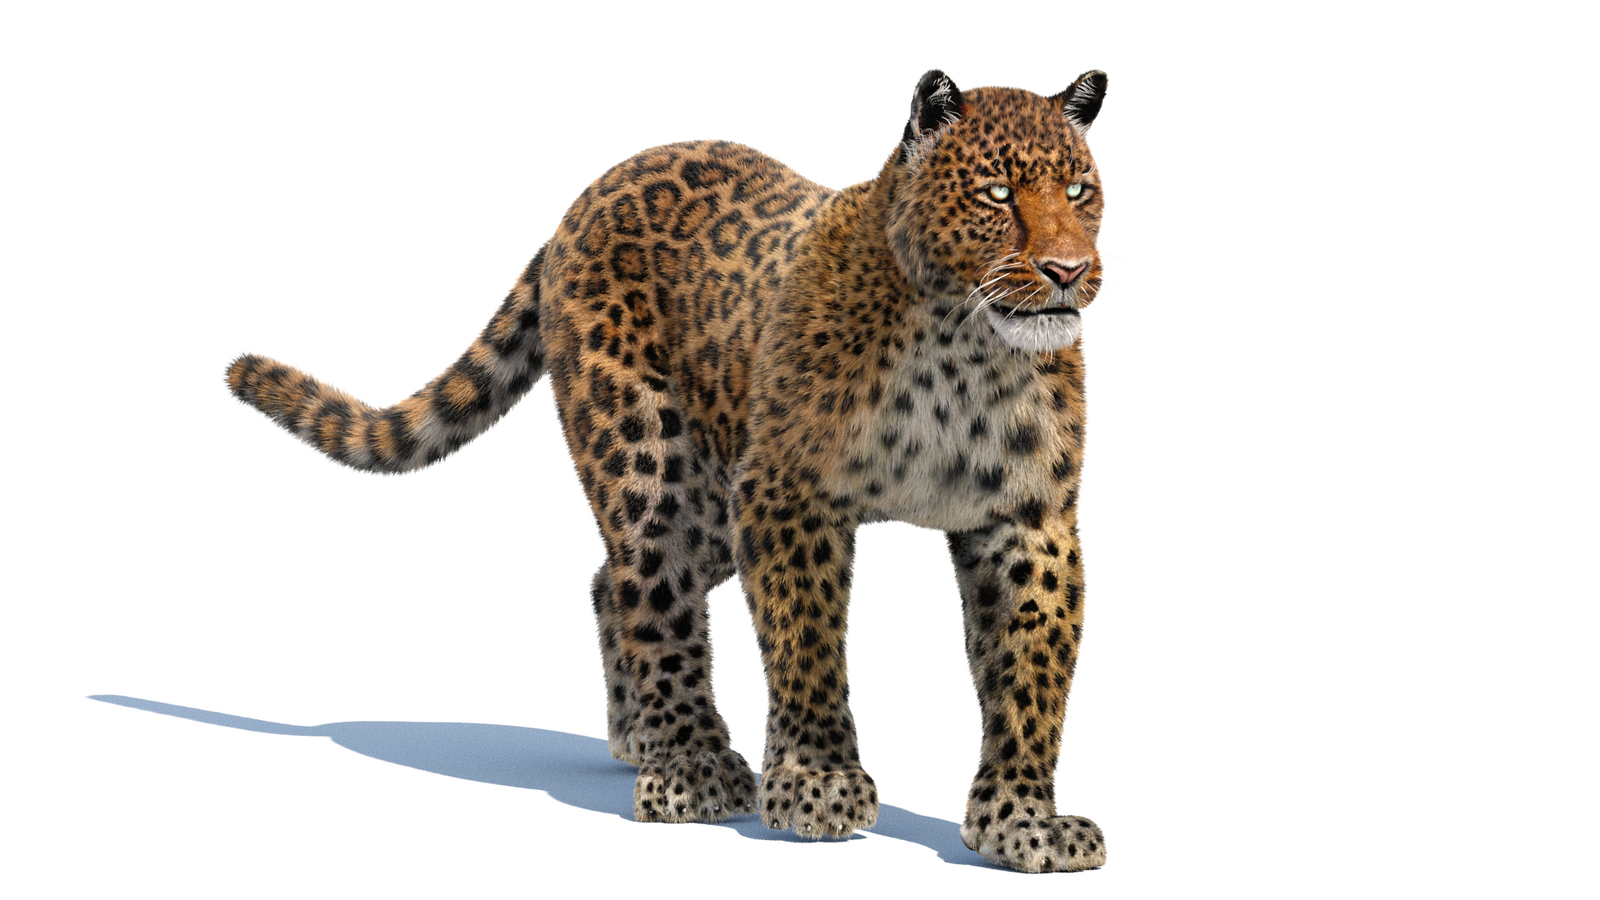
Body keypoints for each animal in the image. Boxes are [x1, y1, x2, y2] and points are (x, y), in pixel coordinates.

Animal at [217, 63, 1114, 874]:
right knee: (653, 592)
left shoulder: (1026, 520)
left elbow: (1030, 670)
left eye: (1078, 189)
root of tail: (583, 200)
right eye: (996, 193)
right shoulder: (789, 496)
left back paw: (637, 736)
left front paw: (1022, 824)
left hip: (716, 506)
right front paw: (818, 782)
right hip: (656, 467)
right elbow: (805, 642)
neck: (967, 347)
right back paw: (689, 764)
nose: (1069, 271)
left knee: (611, 582)